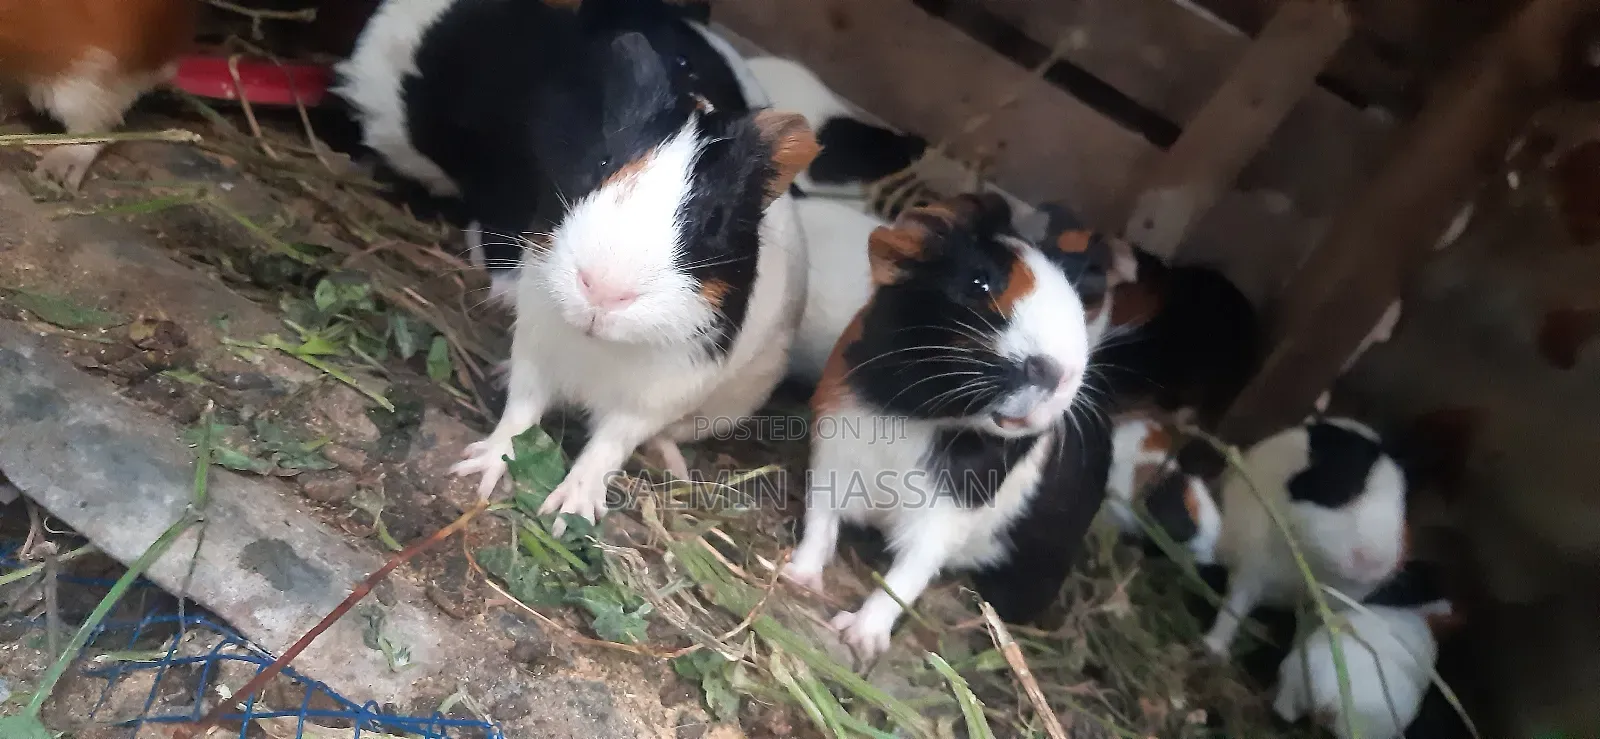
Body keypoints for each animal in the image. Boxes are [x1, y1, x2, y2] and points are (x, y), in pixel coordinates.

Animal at [781, 193, 1112, 658]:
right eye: (979, 283)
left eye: (1078, 304)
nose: (1058, 372)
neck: (921, 417)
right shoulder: (833, 461)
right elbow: (819, 526)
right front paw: (797, 578)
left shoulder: (942, 518)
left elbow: (904, 578)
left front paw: (859, 638)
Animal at [1204, 417, 1408, 656]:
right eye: (1345, 493)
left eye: (1402, 511)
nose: (1373, 564)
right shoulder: (1249, 571)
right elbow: (1233, 609)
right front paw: (1213, 647)